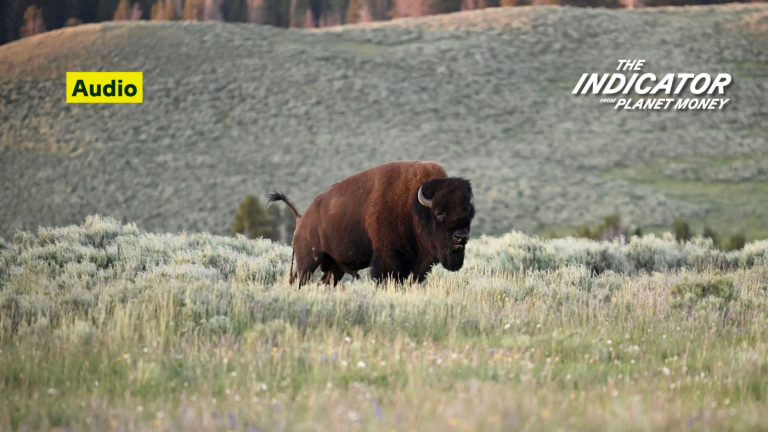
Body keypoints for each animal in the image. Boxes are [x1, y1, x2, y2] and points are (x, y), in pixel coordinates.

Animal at [267, 161, 475, 286]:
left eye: (469, 213)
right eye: (439, 213)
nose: (461, 237)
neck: (412, 206)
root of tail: (301, 218)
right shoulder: (387, 261)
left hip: (334, 267)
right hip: (308, 261)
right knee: (298, 281)